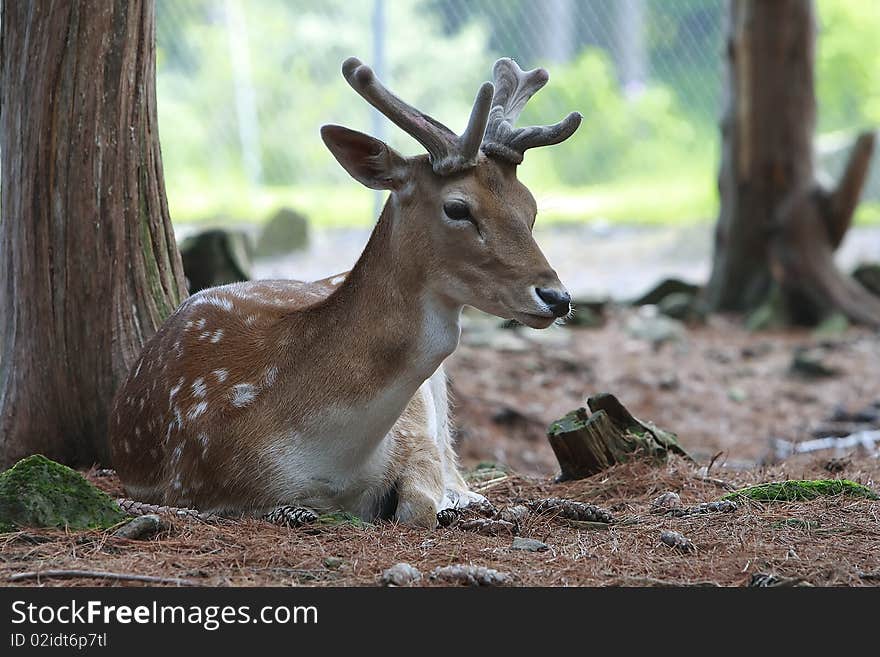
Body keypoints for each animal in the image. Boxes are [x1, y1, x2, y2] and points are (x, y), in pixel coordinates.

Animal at [108, 55, 576, 528]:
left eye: (531, 207)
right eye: (458, 208)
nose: (557, 297)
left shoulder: (416, 435)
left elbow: (419, 505)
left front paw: (445, 503)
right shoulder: (191, 481)